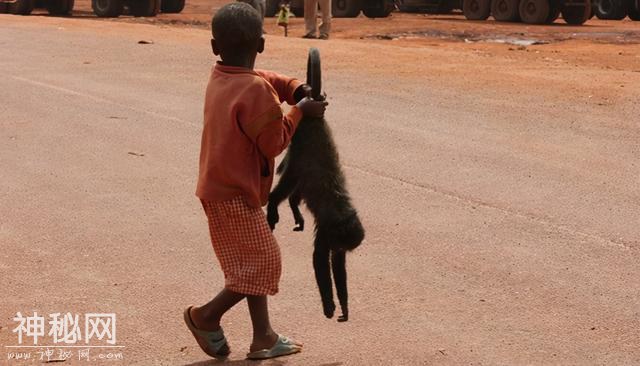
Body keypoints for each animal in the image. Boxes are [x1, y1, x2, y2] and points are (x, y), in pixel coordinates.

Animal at [266, 47, 364, 322]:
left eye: (345, 246)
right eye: (340, 241)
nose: (340, 247)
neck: (343, 214)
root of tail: (315, 122)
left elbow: (337, 264)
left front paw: (344, 305)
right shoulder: (328, 227)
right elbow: (320, 259)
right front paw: (329, 305)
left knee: (297, 186)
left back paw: (293, 209)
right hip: (298, 142)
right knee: (290, 179)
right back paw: (274, 204)